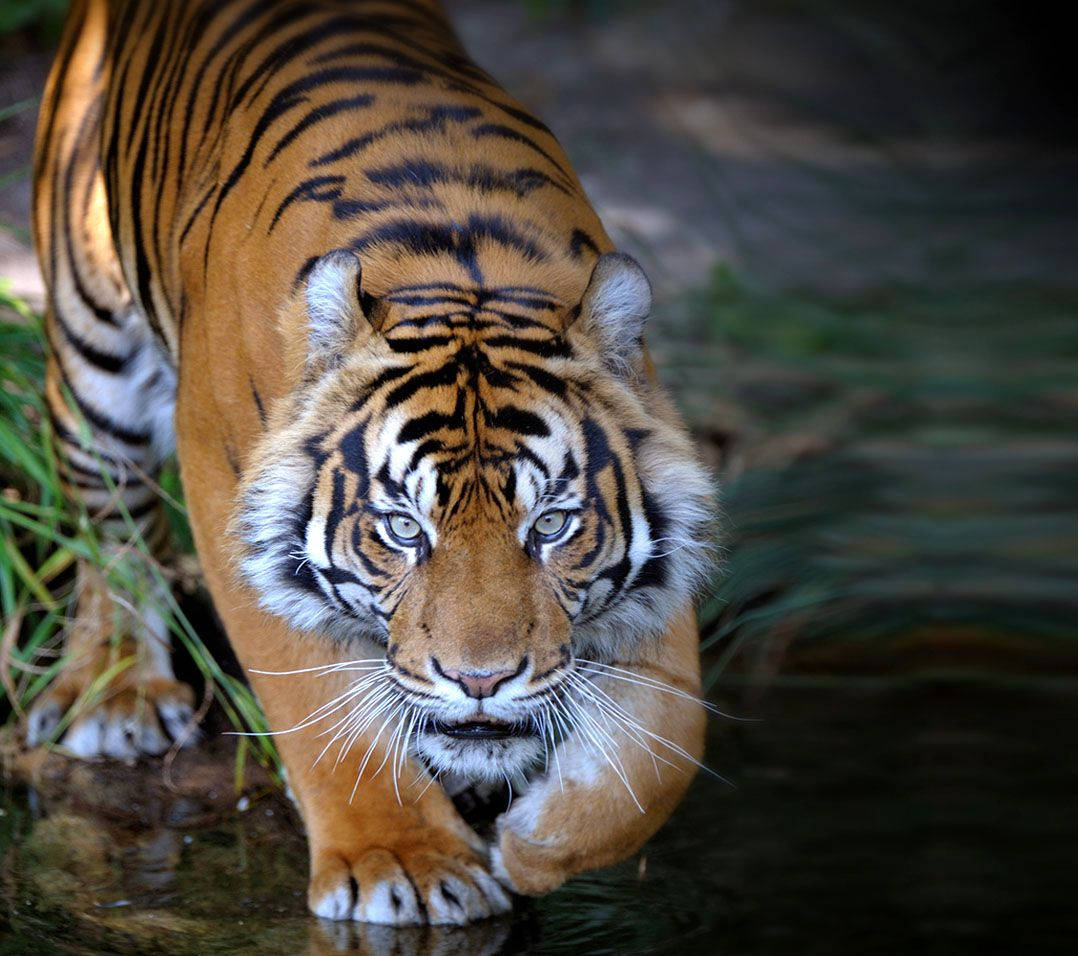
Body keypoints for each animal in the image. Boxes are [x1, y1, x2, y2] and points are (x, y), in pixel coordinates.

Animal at [27, 0, 715, 925]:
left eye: (552, 526)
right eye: (401, 529)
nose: (480, 682)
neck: (458, 264)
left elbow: (671, 743)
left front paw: (535, 845)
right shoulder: (225, 493)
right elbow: (319, 706)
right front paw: (403, 865)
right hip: (90, 338)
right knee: (108, 525)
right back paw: (118, 696)